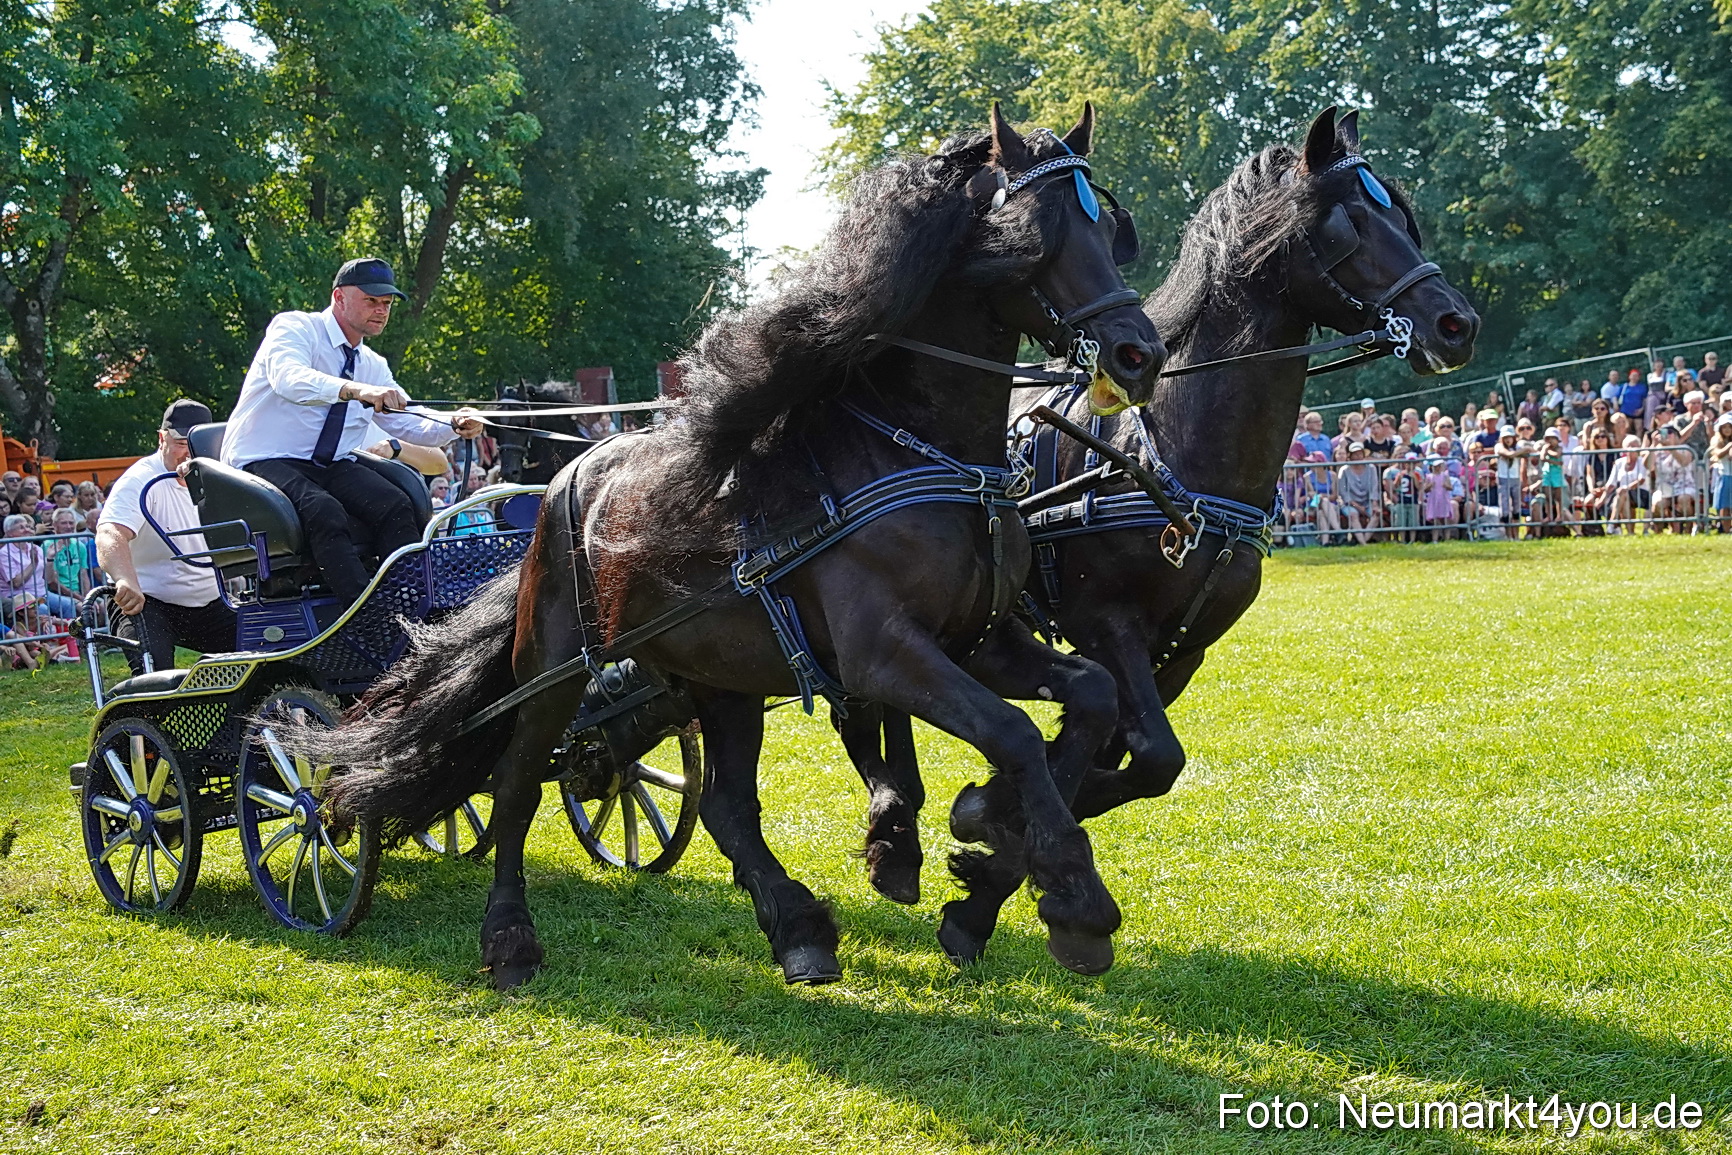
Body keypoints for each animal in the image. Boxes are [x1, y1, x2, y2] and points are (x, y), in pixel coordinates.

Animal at [295, 103, 1165, 989]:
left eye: (1110, 228)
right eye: (1040, 232)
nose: (1140, 351)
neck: (922, 452)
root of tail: (567, 477)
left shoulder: (978, 639)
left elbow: (1092, 694)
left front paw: (997, 857)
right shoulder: (885, 655)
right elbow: (1014, 732)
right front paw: (1070, 894)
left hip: (725, 674)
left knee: (723, 804)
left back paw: (798, 926)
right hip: (555, 667)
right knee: (515, 784)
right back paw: (508, 937)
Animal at [843, 107, 1481, 965]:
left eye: (1402, 217)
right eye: (1350, 222)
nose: (1456, 323)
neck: (1174, 451)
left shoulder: (1183, 648)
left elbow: (1127, 762)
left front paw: (991, 851)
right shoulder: (1105, 623)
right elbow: (1147, 754)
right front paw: (992, 846)